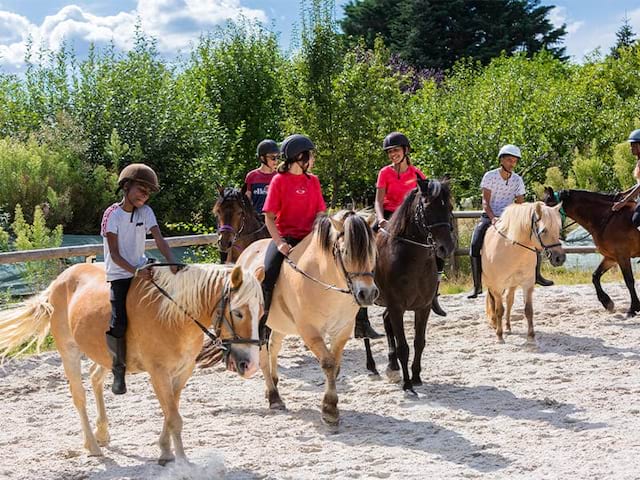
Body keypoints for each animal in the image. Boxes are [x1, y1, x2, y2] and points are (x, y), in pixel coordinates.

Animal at [0, 262, 262, 464]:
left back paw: (102, 432)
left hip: (104, 355)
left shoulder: (182, 372)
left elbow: (171, 412)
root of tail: (59, 280)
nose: (250, 365)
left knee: (95, 377)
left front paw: (165, 451)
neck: (175, 315)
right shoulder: (158, 373)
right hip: (69, 351)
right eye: (238, 313)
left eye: (261, 312)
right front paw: (182, 462)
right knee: (79, 396)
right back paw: (92, 445)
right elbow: (174, 417)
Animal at [235, 210, 378, 424]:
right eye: (345, 252)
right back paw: (274, 397)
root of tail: (246, 252)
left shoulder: (342, 330)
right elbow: (328, 363)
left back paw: (273, 384)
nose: (367, 294)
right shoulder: (309, 330)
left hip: (280, 324)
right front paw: (330, 409)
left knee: (273, 347)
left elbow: (336, 365)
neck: (325, 283)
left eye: (372, 252)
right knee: (262, 355)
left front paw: (330, 405)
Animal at [362, 178, 458, 396]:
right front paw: (407, 385)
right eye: (428, 208)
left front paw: (416, 377)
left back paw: (392, 366)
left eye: (449, 207)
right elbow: (403, 347)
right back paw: (372, 367)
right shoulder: (397, 307)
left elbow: (418, 342)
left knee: (385, 321)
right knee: (363, 328)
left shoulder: (423, 307)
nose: (446, 247)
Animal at [482, 201, 568, 344]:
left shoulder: (527, 284)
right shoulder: (497, 286)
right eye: (543, 230)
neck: (512, 249)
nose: (559, 258)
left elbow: (528, 310)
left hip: (512, 284)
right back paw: (496, 325)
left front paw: (531, 336)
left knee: (509, 301)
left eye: (558, 229)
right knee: (494, 303)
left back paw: (508, 327)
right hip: (492, 285)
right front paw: (499, 336)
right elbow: (499, 310)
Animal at [544, 186, 640, 316]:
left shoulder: (622, 256)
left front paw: (632, 308)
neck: (607, 219)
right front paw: (607, 302)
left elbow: (629, 280)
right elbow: (595, 276)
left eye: (549, 207)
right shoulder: (611, 257)